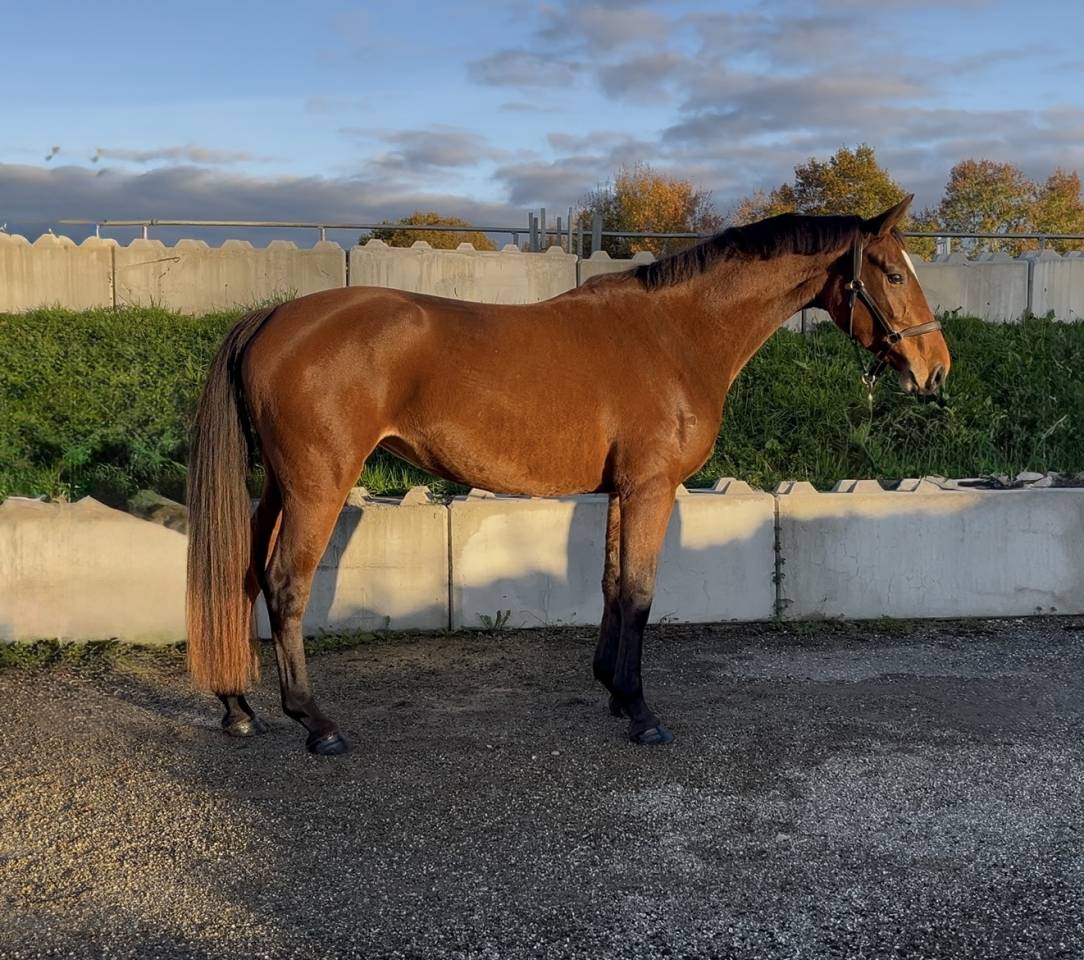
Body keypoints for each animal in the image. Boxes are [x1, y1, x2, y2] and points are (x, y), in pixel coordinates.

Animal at [185, 195, 950, 755]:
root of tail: (272, 317)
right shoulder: (652, 489)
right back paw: (316, 724)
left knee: (243, 576)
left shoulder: (624, 491)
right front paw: (641, 711)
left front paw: (612, 687)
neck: (676, 335)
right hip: (317, 488)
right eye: (892, 273)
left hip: (277, 487)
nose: (935, 369)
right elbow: (640, 591)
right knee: (286, 585)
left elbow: (614, 585)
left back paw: (238, 707)